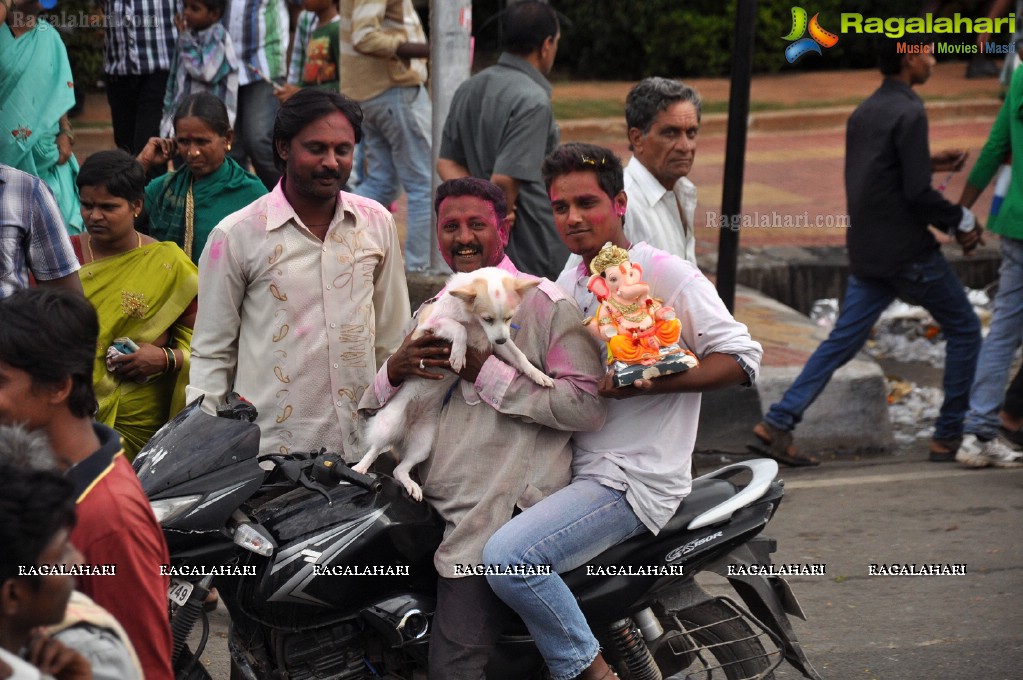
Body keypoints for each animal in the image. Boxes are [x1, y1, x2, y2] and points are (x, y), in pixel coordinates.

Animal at [356, 265, 556, 499]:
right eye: (487, 318)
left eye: (509, 318)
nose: (500, 339)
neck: (473, 321)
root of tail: (403, 434)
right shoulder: (431, 326)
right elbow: (458, 329)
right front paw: (458, 355)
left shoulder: (499, 343)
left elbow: (520, 357)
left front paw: (538, 375)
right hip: (390, 423)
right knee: (375, 448)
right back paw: (361, 467)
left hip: (423, 445)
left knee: (400, 469)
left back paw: (411, 485)